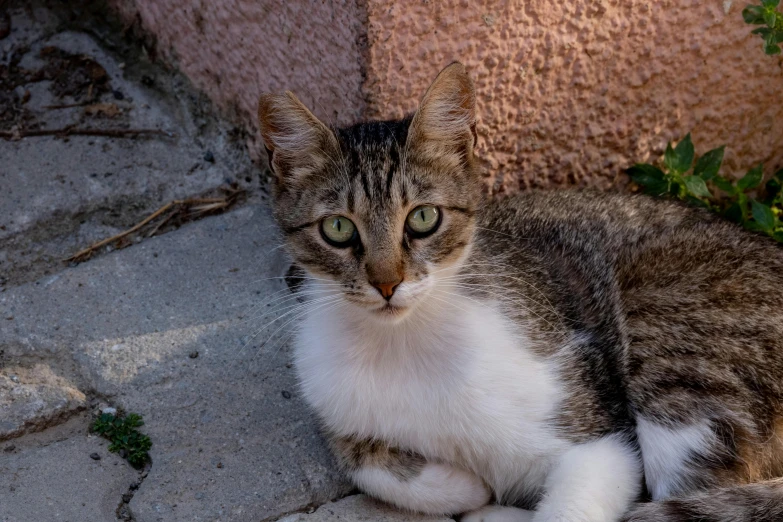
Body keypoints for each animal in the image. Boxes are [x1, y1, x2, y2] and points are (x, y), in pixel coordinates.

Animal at [258, 63, 783, 516]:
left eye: (424, 218)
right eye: (338, 228)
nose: (387, 284)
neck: (404, 341)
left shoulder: (599, 441)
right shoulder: (337, 408)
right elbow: (362, 459)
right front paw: (468, 485)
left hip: (670, 331)